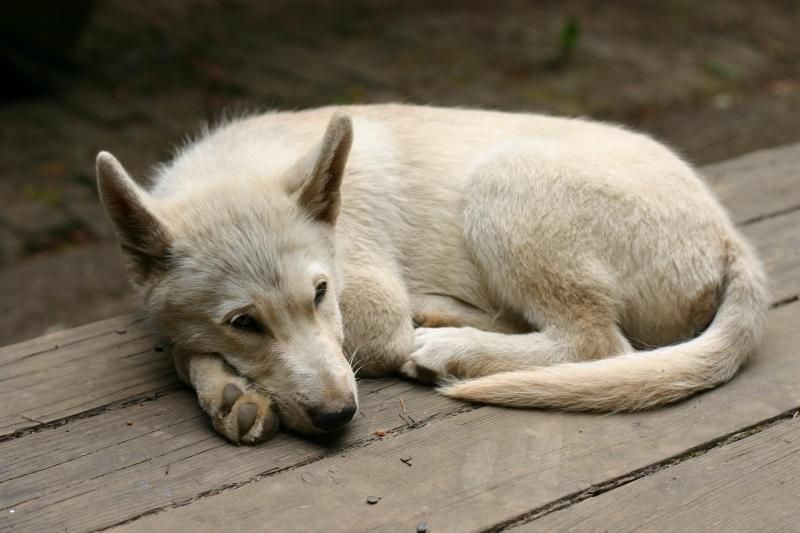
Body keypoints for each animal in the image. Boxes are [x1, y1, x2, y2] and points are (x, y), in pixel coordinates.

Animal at [94, 104, 768, 444]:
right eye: (243, 322)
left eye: (321, 293)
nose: (338, 417)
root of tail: (731, 237)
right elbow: (183, 345)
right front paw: (229, 392)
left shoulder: (368, 307)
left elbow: (186, 352)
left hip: (506, 181)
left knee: (597, 342)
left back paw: (450, 348)